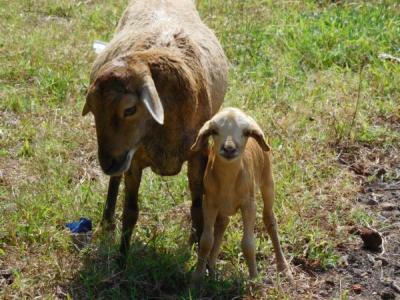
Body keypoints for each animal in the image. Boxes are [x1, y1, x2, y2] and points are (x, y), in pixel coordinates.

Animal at [81, 0, 228, 258]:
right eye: (93, 111)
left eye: (130, 109)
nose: (107, 163)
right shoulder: (133, 161)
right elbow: (130, 213)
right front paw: (122, 260)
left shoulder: (198, 155)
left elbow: (197, 206)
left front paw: (196, 249)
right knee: (115, 181)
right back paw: (107, 221)